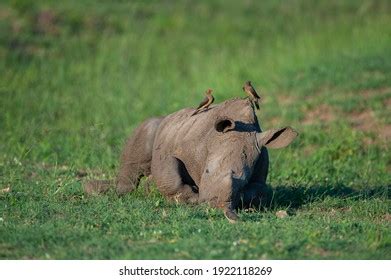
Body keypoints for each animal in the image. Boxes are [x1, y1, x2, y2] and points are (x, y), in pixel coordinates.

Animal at [85, 97, 298, 222]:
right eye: (206, 172)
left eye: (242, 181)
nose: (215, 205)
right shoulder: (177, 151)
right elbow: (170, 174)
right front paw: (191, 199)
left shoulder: (260, 166)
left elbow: (260, 192)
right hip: (161, 126)